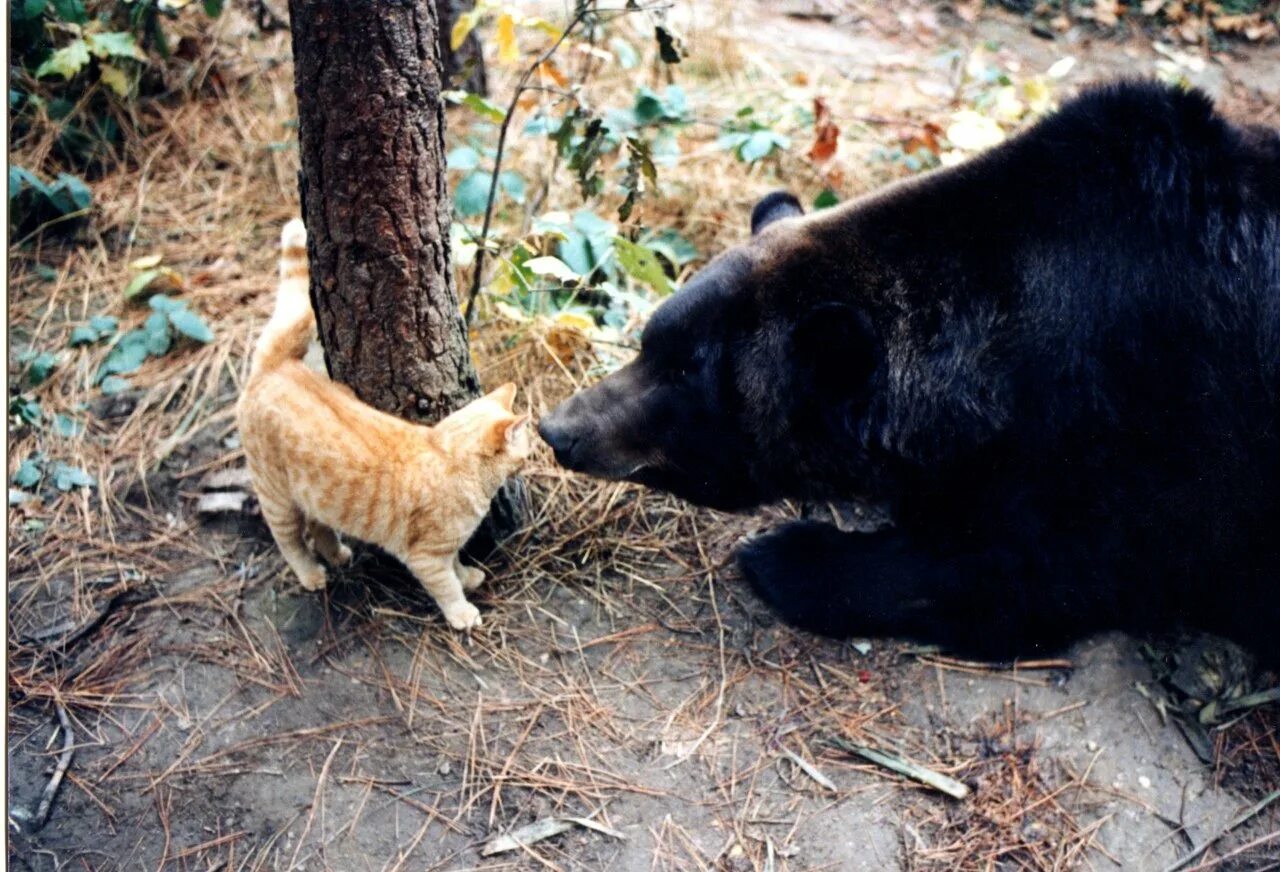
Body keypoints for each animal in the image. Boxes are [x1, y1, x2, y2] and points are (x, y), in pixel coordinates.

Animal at [236, 216, 529, 624]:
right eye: (526, 447)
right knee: (290, 540)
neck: (444, 452)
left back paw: (337, 553)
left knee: (319, 523)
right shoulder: (425, 557)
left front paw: (468, 576)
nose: (533, 456)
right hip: (277, 498)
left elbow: (456, 564)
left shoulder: (444, 548)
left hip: (314, 494)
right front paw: (462, 613)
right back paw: (311, 574)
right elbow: (446, 586)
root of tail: (275, 367)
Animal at [540, 81, 1280, 660]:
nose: (560, 429)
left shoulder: (1152, 429)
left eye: (687, 378)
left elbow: (1037, 574)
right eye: (649, 341)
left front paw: (786, 552)